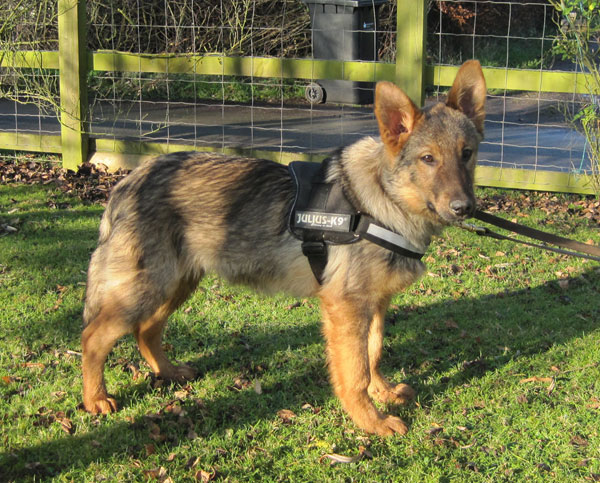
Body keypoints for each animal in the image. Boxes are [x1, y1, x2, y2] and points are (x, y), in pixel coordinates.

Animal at [82, 61, 486, 438]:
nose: (464, 208)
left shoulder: (375, 304)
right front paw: (371, 421)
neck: (383, 201)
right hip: (144, 290)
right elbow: (354, 373)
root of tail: (130, 180)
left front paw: (382, 393)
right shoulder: (347, 308)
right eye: (428, 159)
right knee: (94, 338)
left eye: (466, 154)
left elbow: (373, 354)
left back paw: (168, 371)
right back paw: (95, 399)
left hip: (175, 285)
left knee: (146, 331)